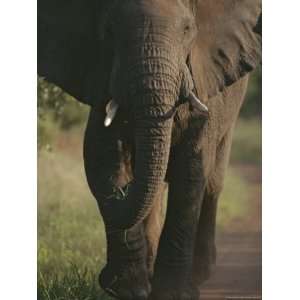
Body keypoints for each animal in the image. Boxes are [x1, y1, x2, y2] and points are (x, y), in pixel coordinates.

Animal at [38, 1, 262, 298]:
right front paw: (128, 289)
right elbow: (102, 157)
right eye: (109, 31)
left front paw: (172, 292)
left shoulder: (204, 80)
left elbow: (191, 169)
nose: (103, 277)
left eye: (187, 30)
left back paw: (199, 275)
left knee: (213, 181)